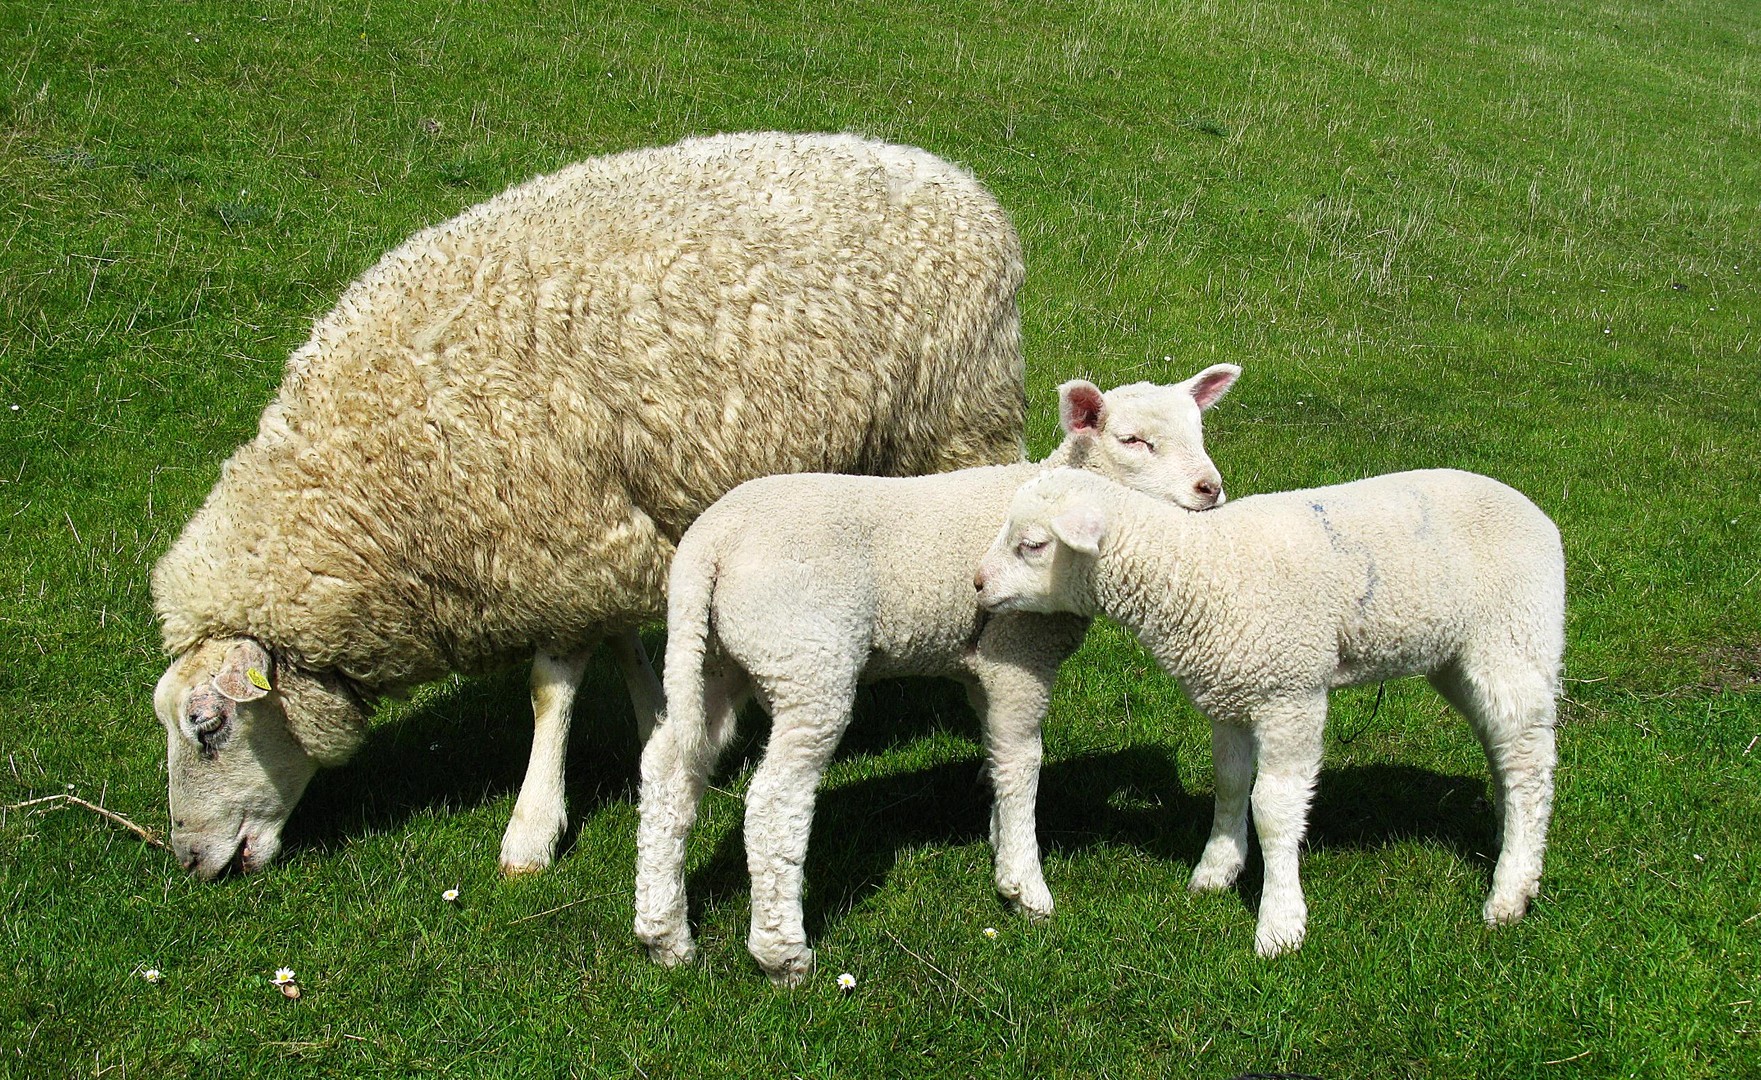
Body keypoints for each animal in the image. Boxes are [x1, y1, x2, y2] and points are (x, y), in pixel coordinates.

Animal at [150, 131, 1034, 881]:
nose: (190, 862)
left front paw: (531, 830)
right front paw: (665, 724)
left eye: (208, 726)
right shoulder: (602, 530)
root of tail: (957, 179)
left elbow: (550, 692)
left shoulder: (554, 536)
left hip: (963, 420)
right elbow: (625, 640)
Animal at [633, 364, 1241, 985]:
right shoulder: (1017, 652)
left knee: (669, 771)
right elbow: (1022, 760)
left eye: (1198, 430)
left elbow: (995, 751)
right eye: (1133, 441)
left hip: (714, 657)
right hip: (807, 657)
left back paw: (665, 935)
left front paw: (998, 836)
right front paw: (1024, 884)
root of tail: (709, 542)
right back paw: (783, 954)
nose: (1210, 489)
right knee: (774, 803)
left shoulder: (980, 667)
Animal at [973, 467, 1565, 956]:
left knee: (1530, 767)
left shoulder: (1291, 694)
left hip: (1514, 637)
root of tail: (1536, 513)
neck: (1197, 569)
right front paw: (1217, 869)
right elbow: (1232, 783)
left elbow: (1274, 808)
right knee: (1505, 751)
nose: (977, 583)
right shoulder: (1232, 695)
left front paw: (1280, 922)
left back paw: (1510, 890)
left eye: (1033, 545)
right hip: (1458, 657)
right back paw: (1511, 842)